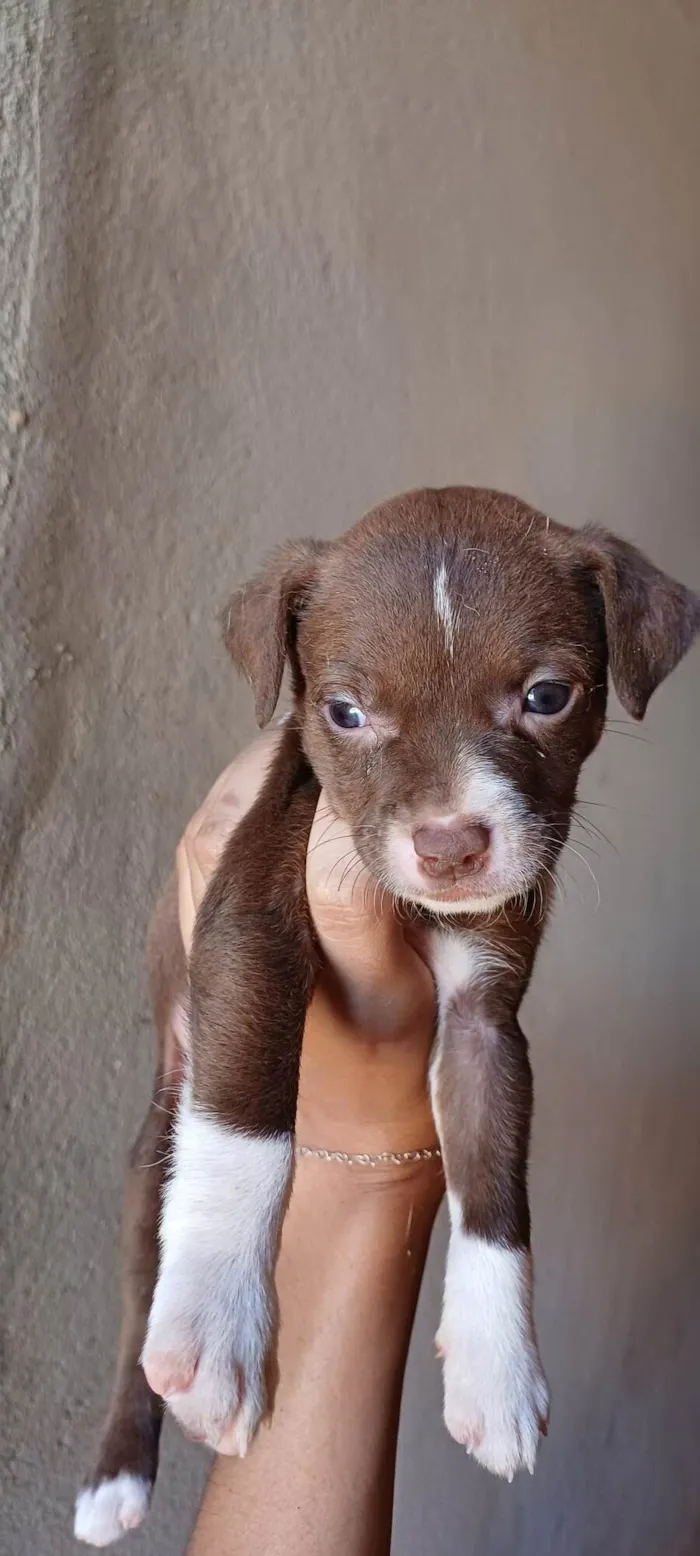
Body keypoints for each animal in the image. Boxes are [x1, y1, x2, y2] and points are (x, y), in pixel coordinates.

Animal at [73, 488, 696, 1543]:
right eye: (345, 713)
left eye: (547, 697)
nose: (450, 844)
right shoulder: (249, 921)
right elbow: (247, 1118)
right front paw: (216, 1324)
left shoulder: (486, 1017)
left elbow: (496, 1183)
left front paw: (498, 1369)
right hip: (153, 1155)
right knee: (135, 1287)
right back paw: (117, 1475)